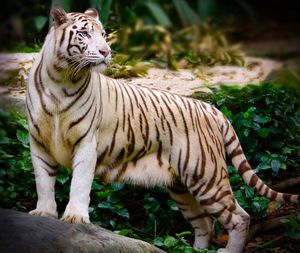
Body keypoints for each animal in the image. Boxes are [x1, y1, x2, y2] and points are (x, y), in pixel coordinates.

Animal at [26, 5, 300, 253]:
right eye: (84, 34)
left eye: (103, 34)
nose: (106, 51)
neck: (62, 78)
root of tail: (212, 108)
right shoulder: (38, 141)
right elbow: (43, 180)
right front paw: (44, 213)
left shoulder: (86, 142)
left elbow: (80, 183)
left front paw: (75, 217)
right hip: (181, 186)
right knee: (205, 223)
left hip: (206, 177)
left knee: (239, 217)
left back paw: (229, 249)